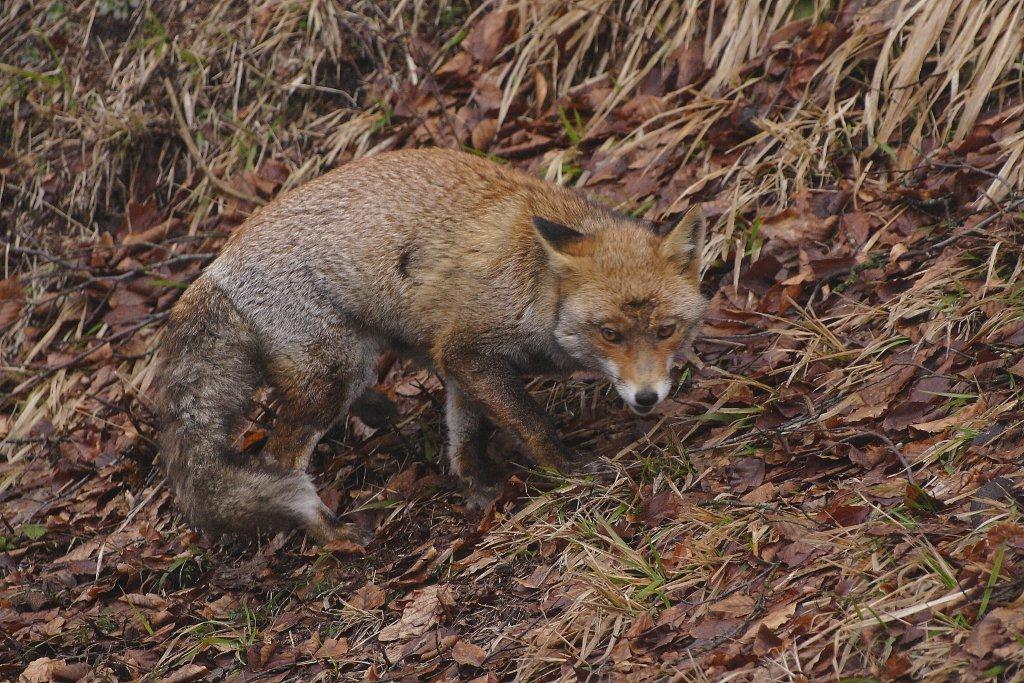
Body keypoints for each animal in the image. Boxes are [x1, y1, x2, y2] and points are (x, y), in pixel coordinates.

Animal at [157, 148, 704, 544]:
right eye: (610, 334)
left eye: (666, 330)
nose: (648, 398)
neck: (538, 285)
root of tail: (215, 265)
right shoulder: (468, 348)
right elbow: (531, 422)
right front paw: (567, 471)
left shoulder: (456, 357)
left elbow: (465, 435)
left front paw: (478, 489)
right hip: (329, 379)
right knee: (281, 459)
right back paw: (332, 535)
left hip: (349, 363)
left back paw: (378, 412)